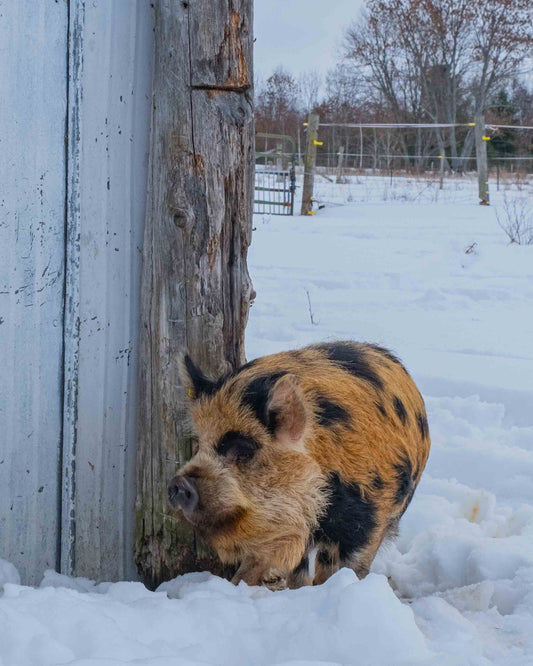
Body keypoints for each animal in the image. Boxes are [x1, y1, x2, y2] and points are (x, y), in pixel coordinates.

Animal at [168, 342, 430, 588]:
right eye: (199, 444)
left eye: (243, 451)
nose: (179, 482)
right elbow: (294, 568)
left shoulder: (369, 515)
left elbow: (348, 565)